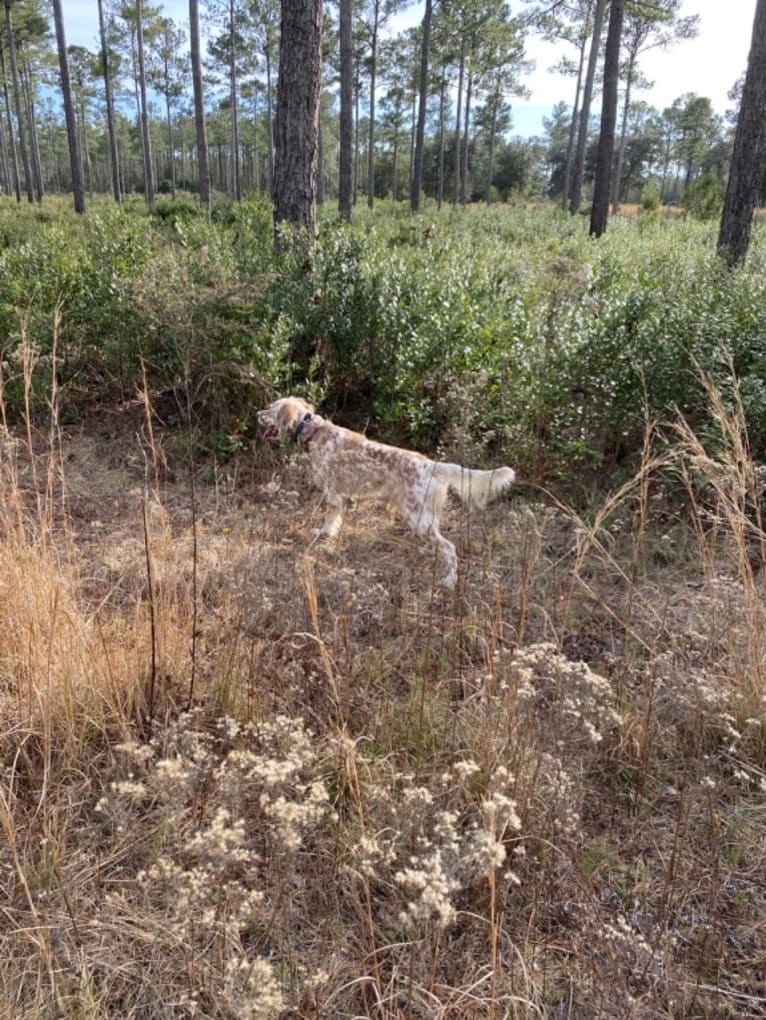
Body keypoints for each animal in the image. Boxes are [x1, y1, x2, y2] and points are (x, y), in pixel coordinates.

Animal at [258, 397, 516, 591]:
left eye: (271, 409)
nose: (256, 413)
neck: (315, 432)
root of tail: (431, 464)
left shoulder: (333, 494)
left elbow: (329, 521)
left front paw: (323, 534)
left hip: (418, 517)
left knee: (449, 549)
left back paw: (449, 581)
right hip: (425, 518)